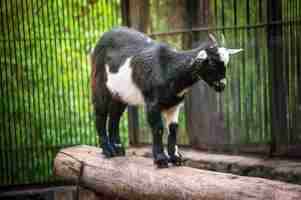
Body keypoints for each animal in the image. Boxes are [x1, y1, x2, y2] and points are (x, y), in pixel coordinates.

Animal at [89, 26, 241, 167]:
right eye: (212, 63)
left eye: (226, 64)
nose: (221, 86)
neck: (168, 68)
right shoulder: (152, 104)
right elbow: (158, 128)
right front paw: (161, 159)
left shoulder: (174, 105)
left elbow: (173, 129)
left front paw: (175, 158)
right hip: (99, 84)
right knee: (100, 114)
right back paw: (108, 150)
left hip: (120, 94)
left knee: (115, 116)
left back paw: (118, 149)